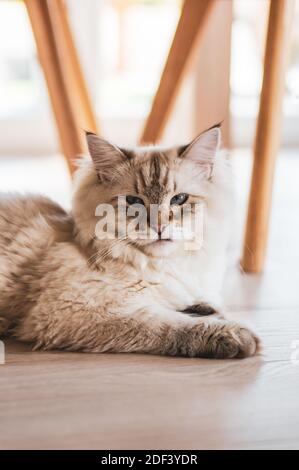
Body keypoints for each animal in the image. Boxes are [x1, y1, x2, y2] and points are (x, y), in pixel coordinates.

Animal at [0, 126, 260, 358]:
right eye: (134, 201)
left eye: (179, 199)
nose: (159, 227)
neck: (159, 266)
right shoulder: (77, 309)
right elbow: (169, 323)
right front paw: (235, 335)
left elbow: (193, 304)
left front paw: (205, 308)